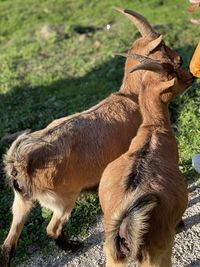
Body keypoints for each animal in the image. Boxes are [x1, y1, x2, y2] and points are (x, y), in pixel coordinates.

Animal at [98, 55, 194, 266]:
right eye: (173, 74)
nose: (191, 76)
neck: (152, 127)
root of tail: (126, 221)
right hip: (157, 250)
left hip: (112, 254)